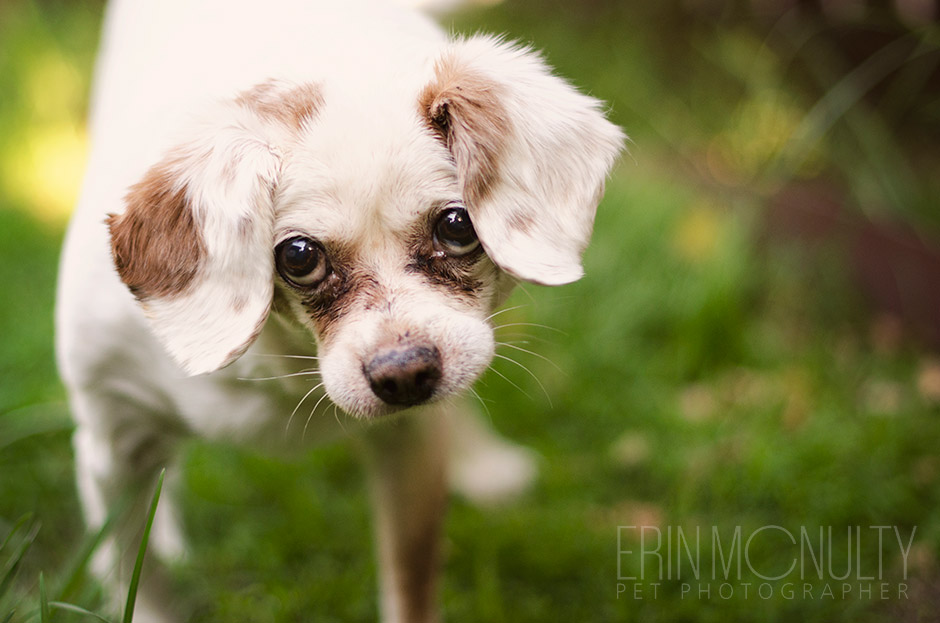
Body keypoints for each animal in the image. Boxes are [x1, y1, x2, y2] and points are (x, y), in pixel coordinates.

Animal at [53, 0, 624, 620]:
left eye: (458, 225)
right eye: (299, 256)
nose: (406, 374)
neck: (281, 367)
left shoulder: (411, 446)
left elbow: (410, 583)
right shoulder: (113, 443)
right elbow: (144, 578)